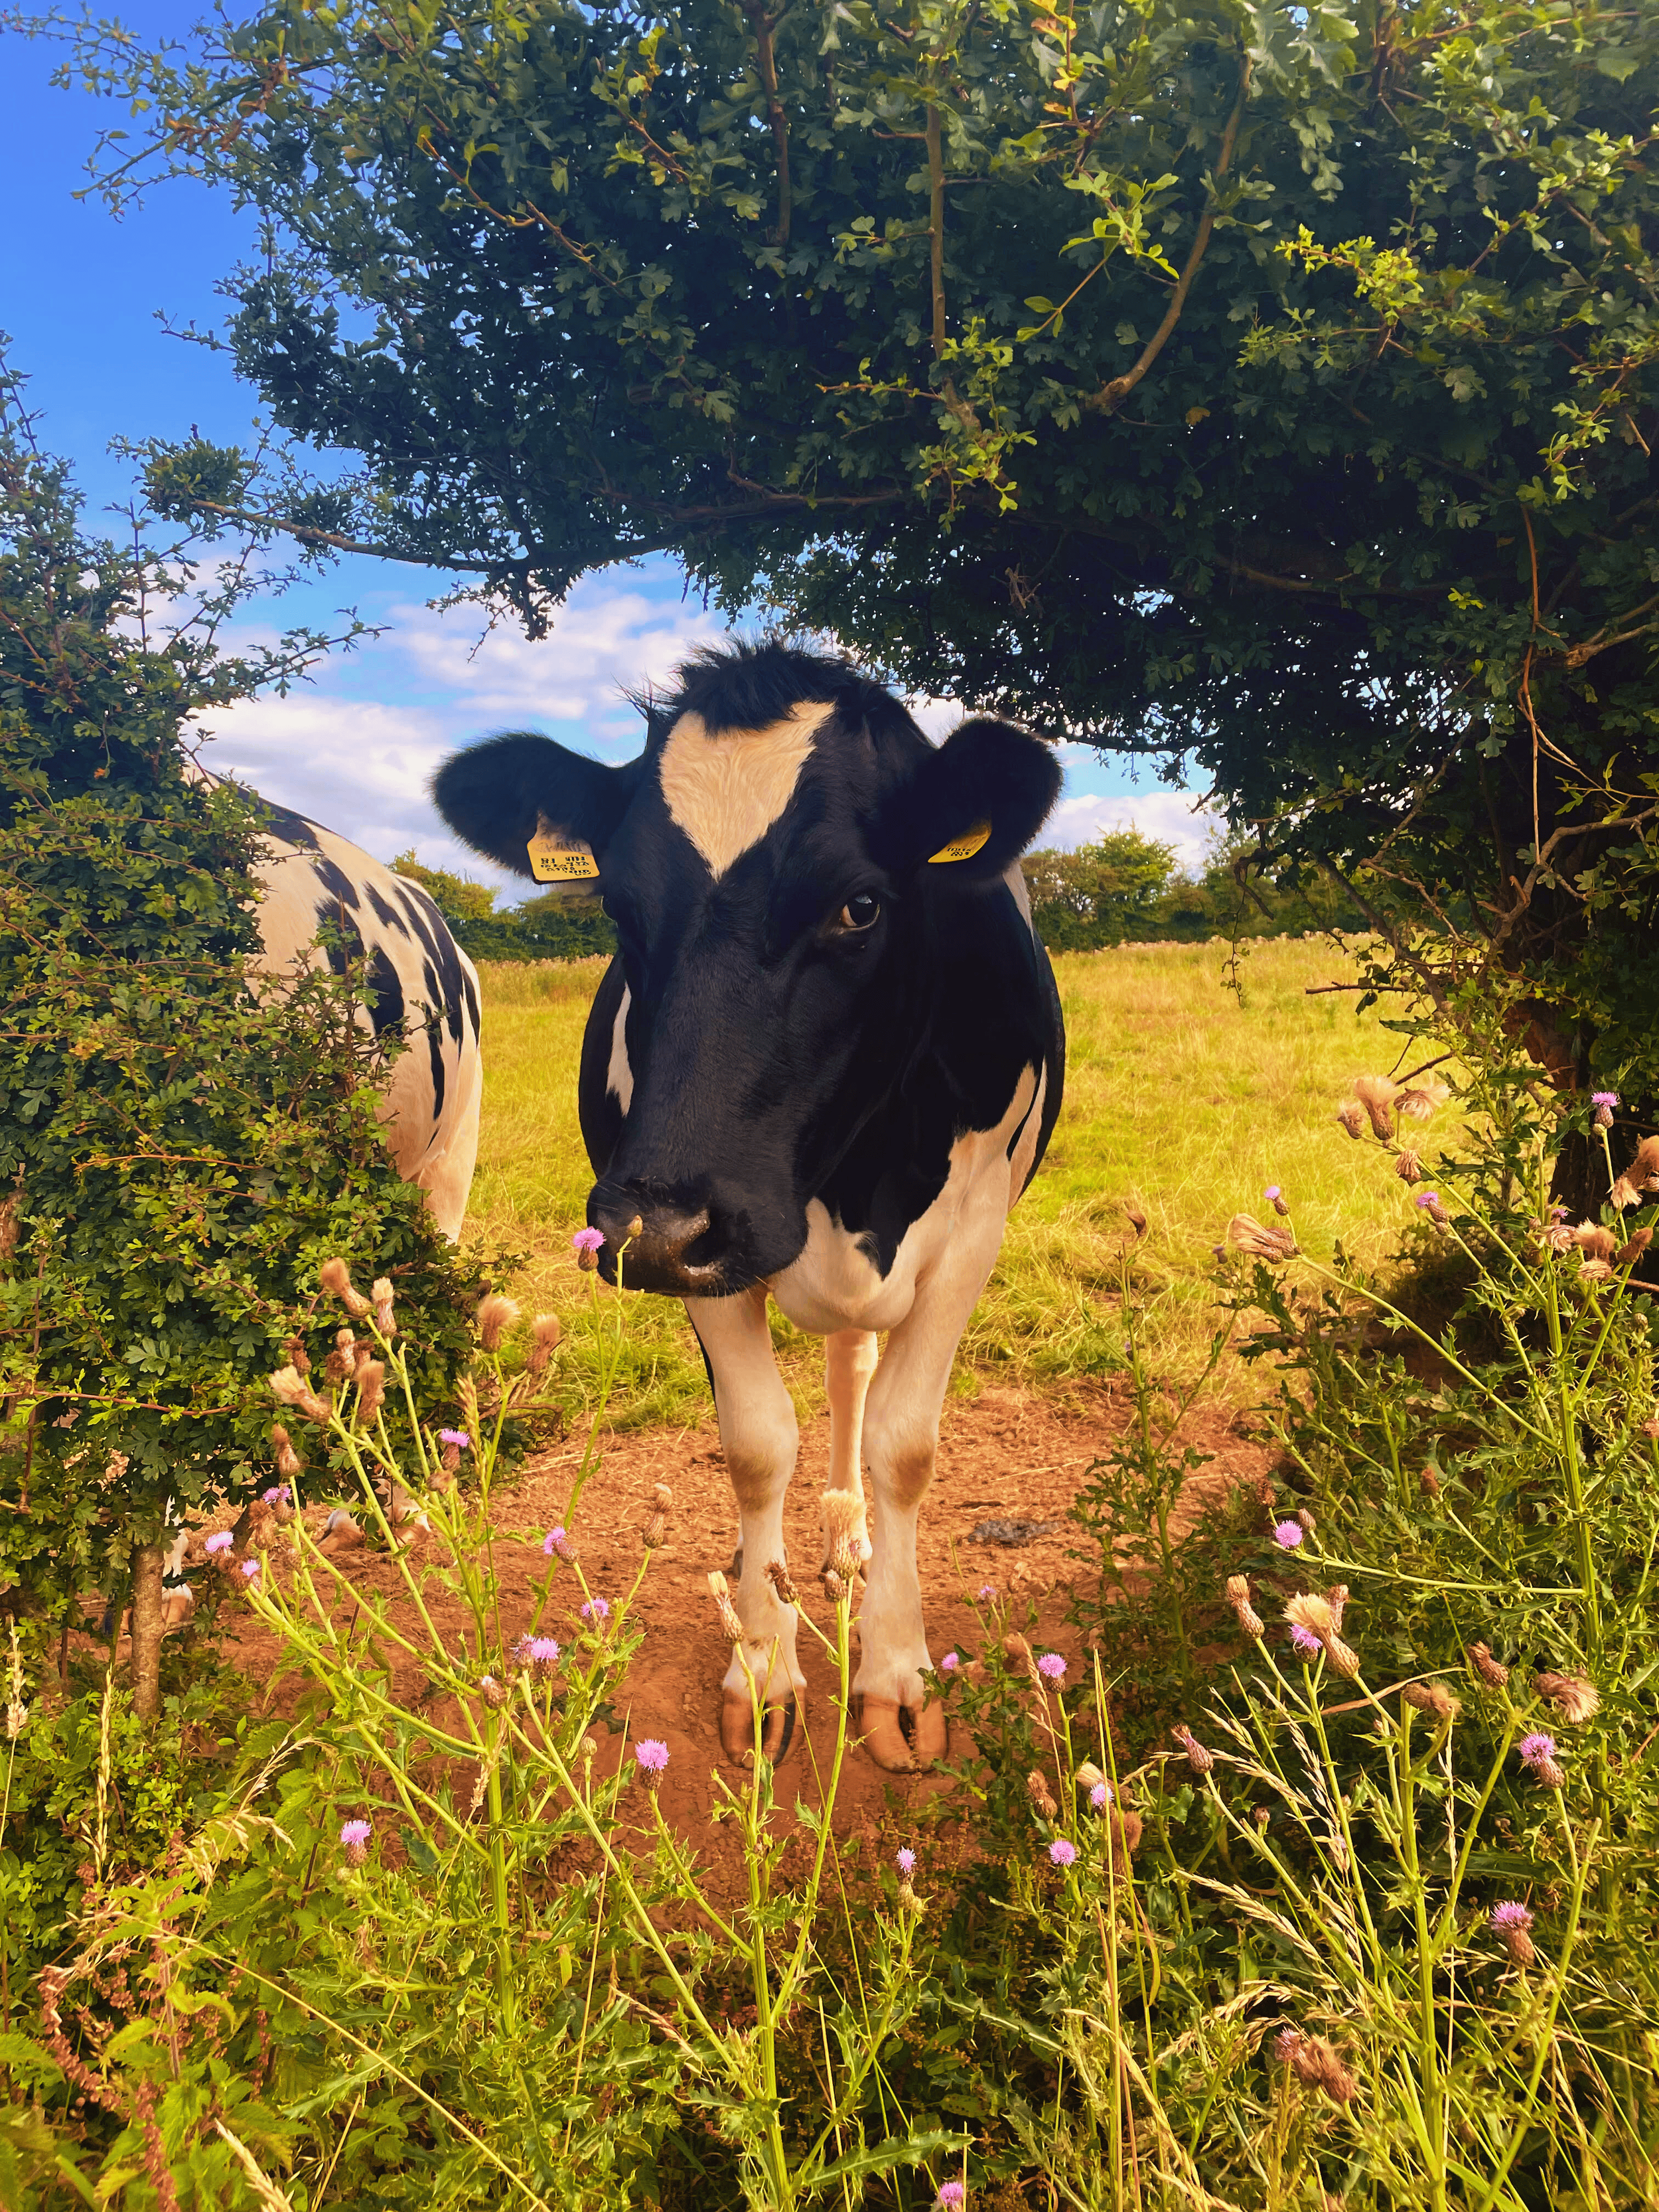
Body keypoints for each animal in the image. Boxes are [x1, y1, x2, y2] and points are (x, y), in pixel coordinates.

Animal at [433, 641, 1064, 1772]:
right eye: (617, 908)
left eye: (859, 905)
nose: (650, 1224)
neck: (856, 1180)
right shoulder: (699, 1249)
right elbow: (758, 1442)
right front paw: (763, 1669)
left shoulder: (973, 1230)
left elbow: (906, 1442)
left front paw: (897, 1673)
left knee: (856, 1376)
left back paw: (851, 1537)